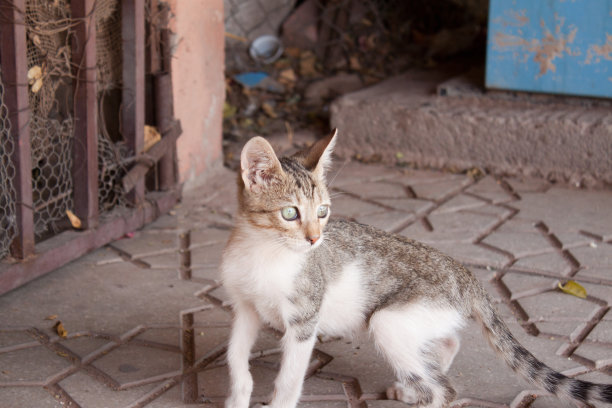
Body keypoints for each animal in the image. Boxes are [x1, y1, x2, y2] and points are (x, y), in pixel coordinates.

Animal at [221, 131, 612, 408]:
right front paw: (237, 397)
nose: (315, 239)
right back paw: (413, 386)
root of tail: (467, 275)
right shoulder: (243, 308)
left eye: (322, 212)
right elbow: (235, 358)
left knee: (444, 392)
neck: (263, 251)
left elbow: (289, 379)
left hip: (389, 320)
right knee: (446, 343)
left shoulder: (304, 321)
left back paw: (422, 391)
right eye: (290, 213)